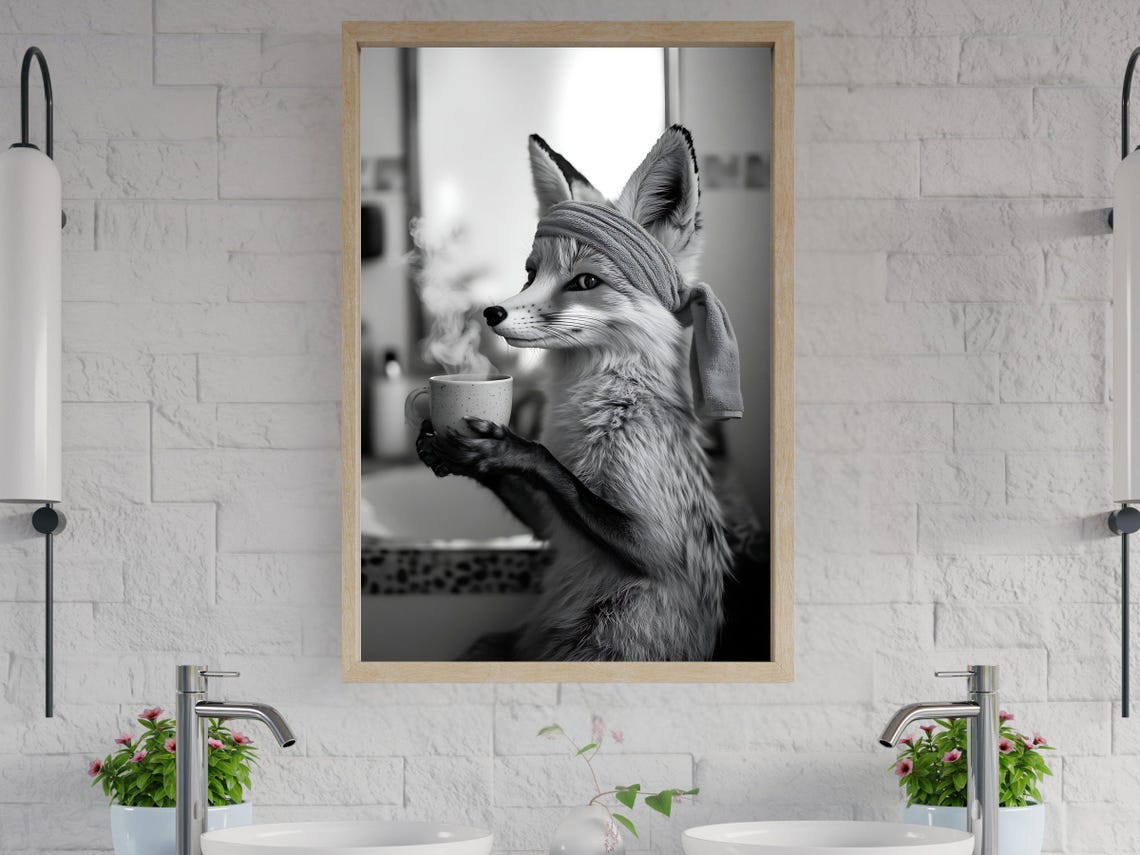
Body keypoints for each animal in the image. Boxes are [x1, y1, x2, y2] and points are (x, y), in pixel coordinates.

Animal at [416, 125, 736, 662]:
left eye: (585, 281)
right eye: (530, 273)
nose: (491, 312)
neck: (596, 411)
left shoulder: (663, 544)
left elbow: (554, 469)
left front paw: (510, 448)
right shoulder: (551, 524)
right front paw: (457, 451)